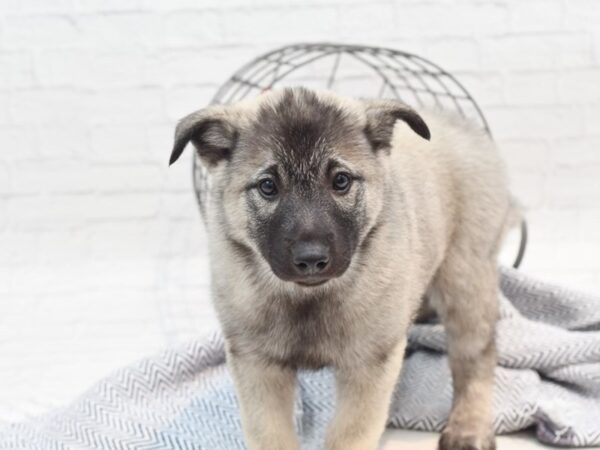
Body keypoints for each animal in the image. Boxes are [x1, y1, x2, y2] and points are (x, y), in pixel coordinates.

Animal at [169, 88, 516, 450]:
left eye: (340, 181)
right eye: (267, 186)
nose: (311, 259)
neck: (308, 298)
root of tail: (459, 123)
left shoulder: (367, 364)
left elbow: (349, 433)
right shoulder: (256, 363)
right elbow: (270, 433)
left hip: (466, 278)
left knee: (474, 358)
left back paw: (469, 427)